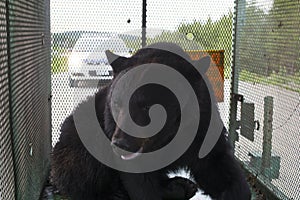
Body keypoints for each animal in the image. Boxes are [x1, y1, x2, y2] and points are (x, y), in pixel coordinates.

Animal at [51, 42, 251, 200]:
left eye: (148, 107)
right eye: (117, 103)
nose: (120, 145)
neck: (170, 135)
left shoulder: (203, 125)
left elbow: (218, 166)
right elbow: (141, 183)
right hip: (81, 133)